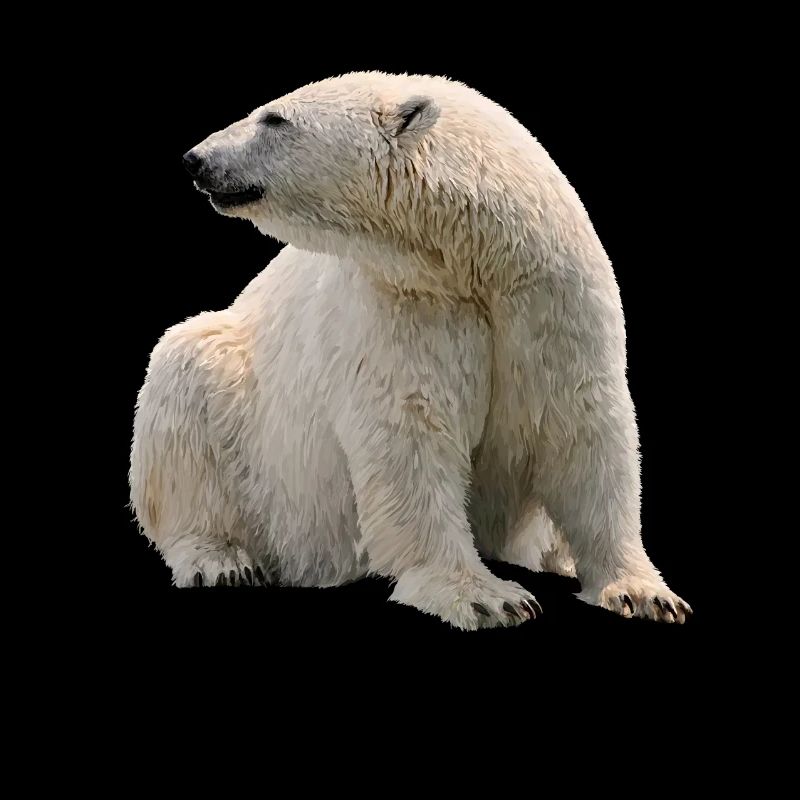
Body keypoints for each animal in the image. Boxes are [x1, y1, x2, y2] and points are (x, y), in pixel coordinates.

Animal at [130, 71, 691, 629]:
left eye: (274, 118)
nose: (196, 158)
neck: (474, 258)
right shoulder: (404, 305)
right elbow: (411, 433)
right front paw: (488, 597)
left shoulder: (551, 302)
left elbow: (583, 428)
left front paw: (644, 593)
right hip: (242, 408)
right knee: (184, 387)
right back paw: (220, 559)